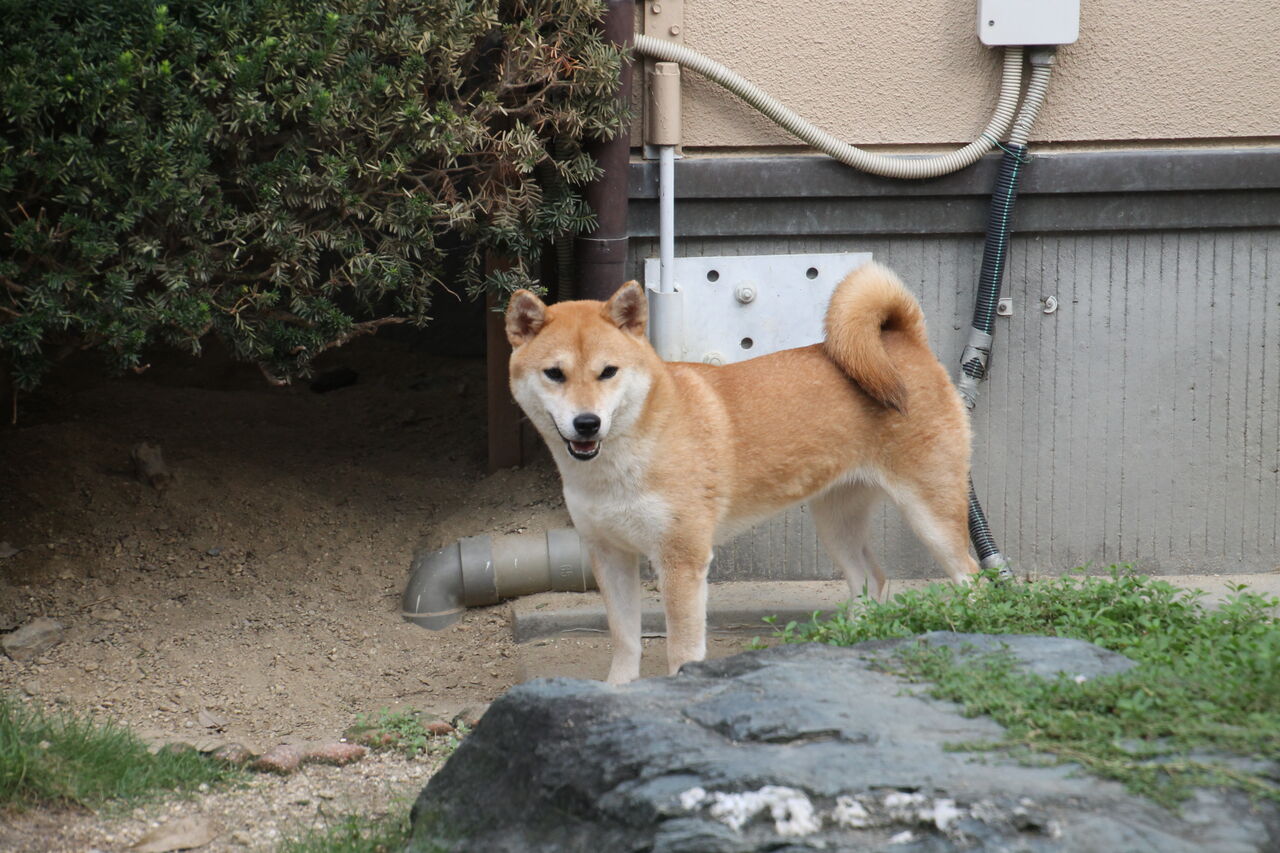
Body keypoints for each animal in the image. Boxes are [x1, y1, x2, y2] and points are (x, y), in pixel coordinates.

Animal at [505, 262, 978, 684]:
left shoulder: (682, 559)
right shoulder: (609, 554)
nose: (587, 423)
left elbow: (681, 648)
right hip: (835, 522)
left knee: (972, 578)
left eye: (608, 372)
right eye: (554, 374)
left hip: (931, 516)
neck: (619, 464)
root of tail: (905, 341)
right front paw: (618, 692)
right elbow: (625, 640)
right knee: (871, 579)